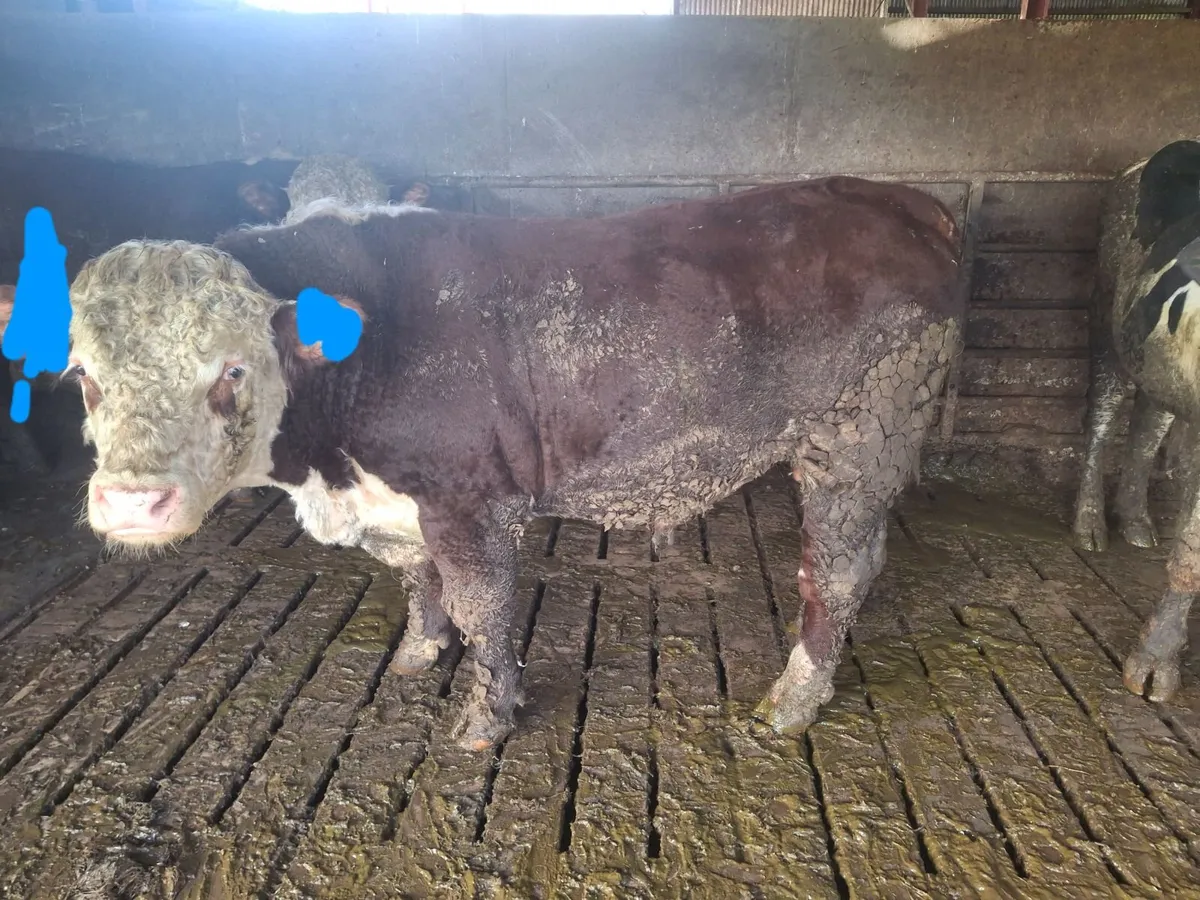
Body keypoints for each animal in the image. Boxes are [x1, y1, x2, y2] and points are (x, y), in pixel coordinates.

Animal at [18, 177, 963, 754]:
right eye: (82, 375)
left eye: (232, 370)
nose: (132, 503)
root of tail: (894, 198)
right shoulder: (399, 505)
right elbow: (417, 580)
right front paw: (417, 649)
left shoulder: (466, 502)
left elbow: (483, 607)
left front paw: (484, 716)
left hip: (857, 441)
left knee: (837, 571)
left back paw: (792, 701)